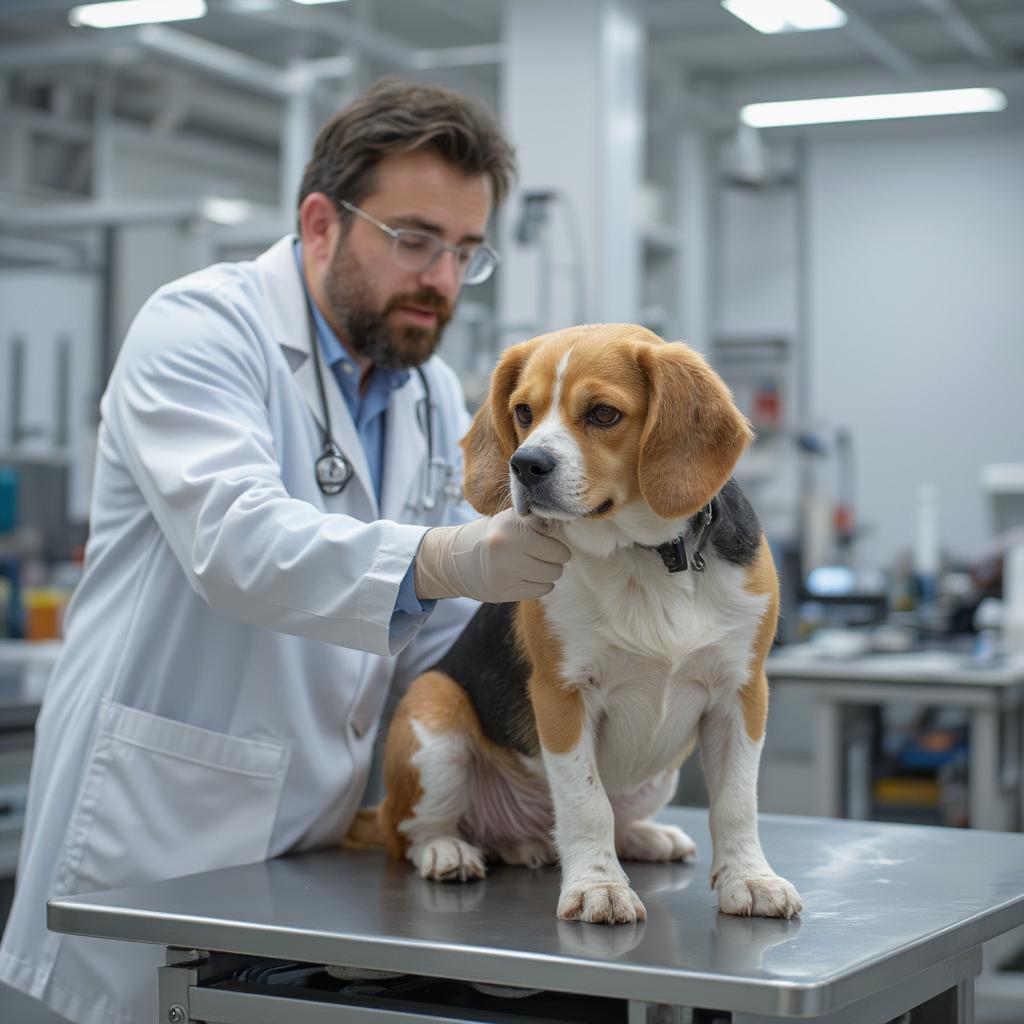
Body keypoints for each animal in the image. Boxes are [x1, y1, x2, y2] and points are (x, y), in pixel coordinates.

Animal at [376, 323, 798, 925]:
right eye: (523, 412)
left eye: (602, 414)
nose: (525, 464)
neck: (643, 556)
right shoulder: (563, 695)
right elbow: (585, 802)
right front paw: (599, 887)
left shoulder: (742, 692)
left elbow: (737, 802)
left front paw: (750, 879)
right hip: (432, 716)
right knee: (408, 830)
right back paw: (448, 849)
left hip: (660, 775)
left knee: (616, 818)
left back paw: (639, 837)